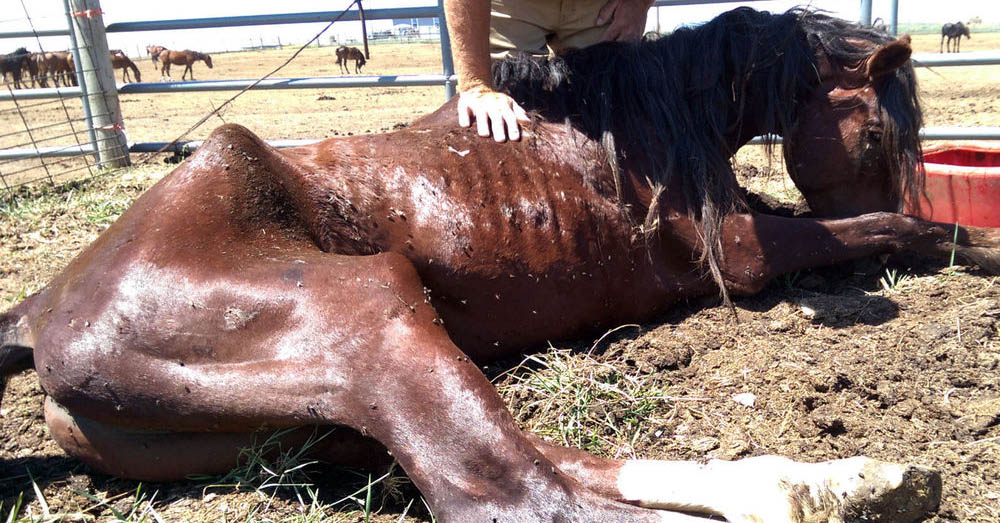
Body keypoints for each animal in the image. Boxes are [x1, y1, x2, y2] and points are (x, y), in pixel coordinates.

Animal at [7, 7, 1000, 520]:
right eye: (876, 134)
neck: (639, 123)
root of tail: (46, 307)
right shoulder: (745, 255)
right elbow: (886, 227)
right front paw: (976, 244)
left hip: (329, 414)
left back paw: (822, 483)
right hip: (369, 312)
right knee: (517, 495)